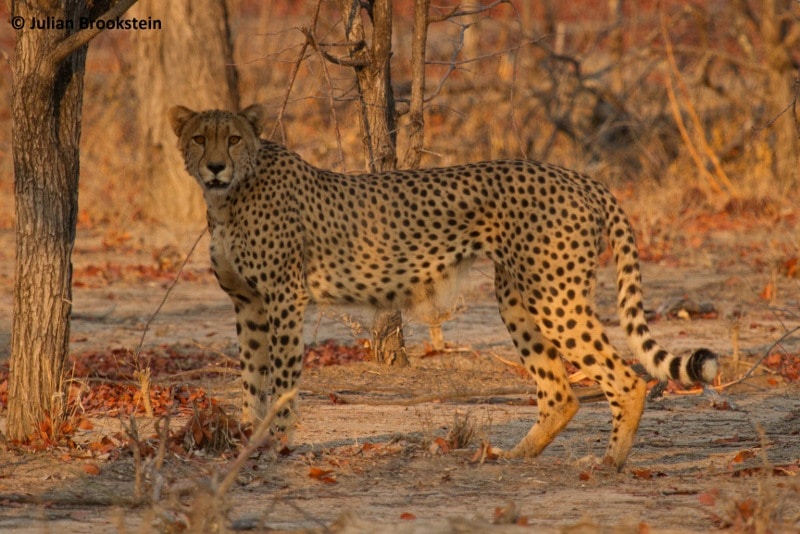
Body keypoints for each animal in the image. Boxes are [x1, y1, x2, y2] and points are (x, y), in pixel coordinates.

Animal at [169, 103, 720, 468]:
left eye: (233, 138)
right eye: (199, 138)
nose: (215, 166)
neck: (230, 196)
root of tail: (579, 177)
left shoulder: (284, 296)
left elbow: (282, 378)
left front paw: (278, 440)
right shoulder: (247, 302)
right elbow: (251, 376)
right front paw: (248, 435)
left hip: (553, 296)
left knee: (626, 378)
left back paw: (608, 462)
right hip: (518, 297)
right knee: (560, 391)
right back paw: (514, 455)